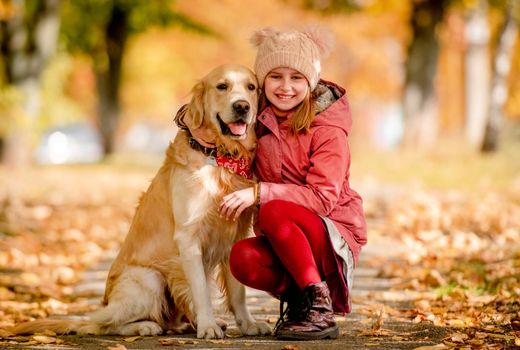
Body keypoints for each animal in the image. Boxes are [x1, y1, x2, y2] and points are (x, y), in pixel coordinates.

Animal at [12, 63, 272, 340]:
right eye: (222, 86)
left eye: (251, 87)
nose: (242, 106)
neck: (220, 157)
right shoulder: (188, 237)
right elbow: (201, 292)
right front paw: (208, 326)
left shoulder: (234, 235)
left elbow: (238, 292)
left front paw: (248, 324)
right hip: (149, 278)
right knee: (104, 323)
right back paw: (146, 326)